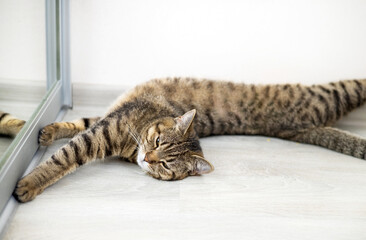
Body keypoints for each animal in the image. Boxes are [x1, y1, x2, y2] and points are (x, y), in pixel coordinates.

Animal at [12, 78, 366, 202]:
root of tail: (296, 126)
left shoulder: (102, 132)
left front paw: (29, 183)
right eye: (157, 143)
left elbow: (66, 156)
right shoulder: (109, 121)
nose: (148, 159)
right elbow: (78, 126)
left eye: (167, 165)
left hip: (325, 95)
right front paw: (42, 130)